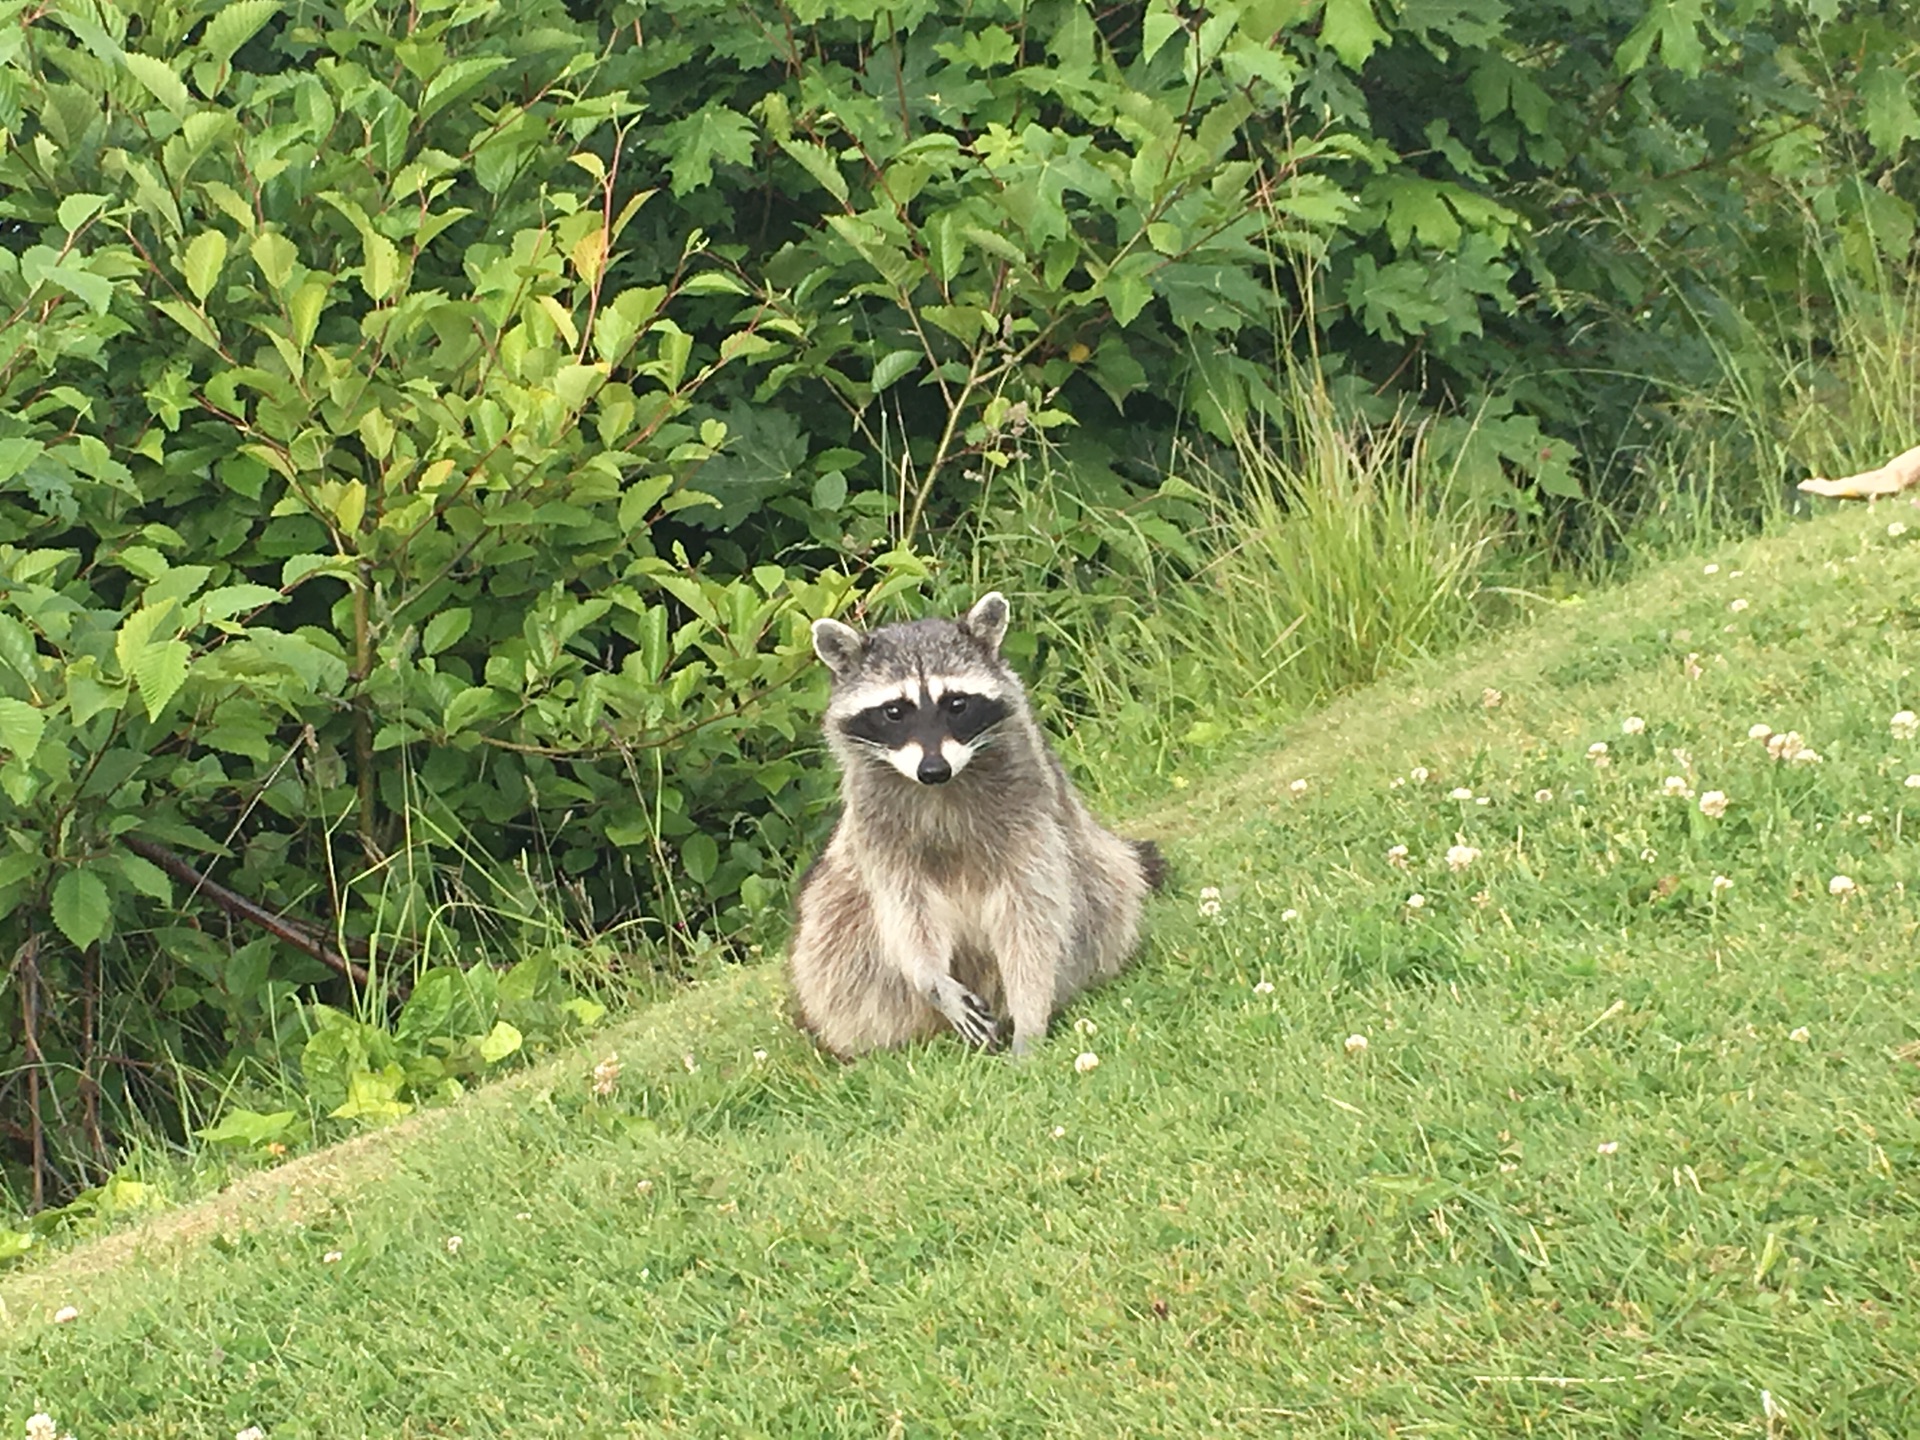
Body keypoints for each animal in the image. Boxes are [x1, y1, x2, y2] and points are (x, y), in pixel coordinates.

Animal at [783, 595, 1167, 1059]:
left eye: (956, 704)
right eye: (894, 712)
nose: (933, 769)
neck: (941, 788)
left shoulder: (1028, 805)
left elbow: (1033, 911)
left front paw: (1030, 1012)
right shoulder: (875, 825)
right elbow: (905, 910)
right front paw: (931, 978)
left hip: (1096, 869)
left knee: (1107, 887)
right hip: (834, 916)